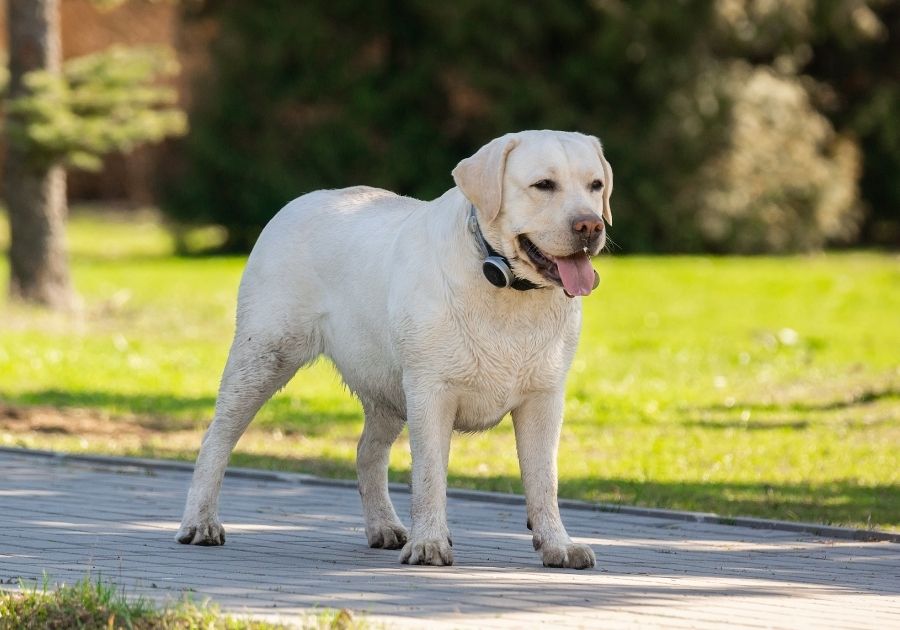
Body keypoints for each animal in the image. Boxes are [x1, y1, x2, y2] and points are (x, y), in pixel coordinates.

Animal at [176, 131, 612, 572]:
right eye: (543, 185)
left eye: (595, 186)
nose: (591, 224)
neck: (501, 281)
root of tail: (298, 202)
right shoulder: (430, 392)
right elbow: (430, 476)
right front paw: (430, 543)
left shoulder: (544, 398)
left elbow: (544, 480)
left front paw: (558, 544)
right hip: (264, 356)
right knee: (216, 438)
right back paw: (200, 523)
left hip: (385, 389)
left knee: (367, 452)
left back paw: (384, 526)